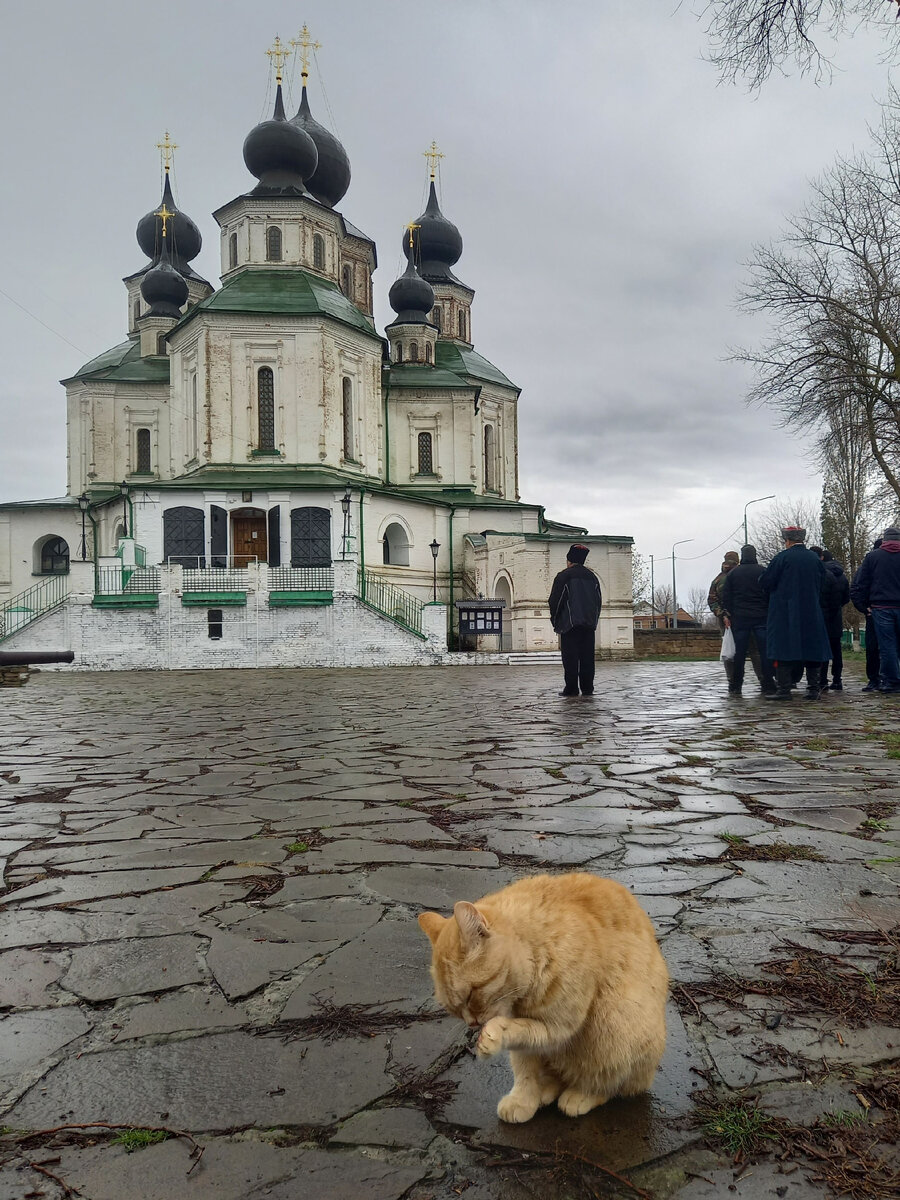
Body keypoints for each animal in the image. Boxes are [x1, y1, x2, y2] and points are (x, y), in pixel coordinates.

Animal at [417, 873, 672, 1123]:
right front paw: (523, 1100)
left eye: (471, 994)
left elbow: (521, 1029)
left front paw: (493, 1035)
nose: (472, 1023)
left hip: (615, 1023)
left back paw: (581, 1095)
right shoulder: (528, 1046)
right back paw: (547, 1089)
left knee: (608, 1082)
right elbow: (525, 1068)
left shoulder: (560, 1027)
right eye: (454, 1009)